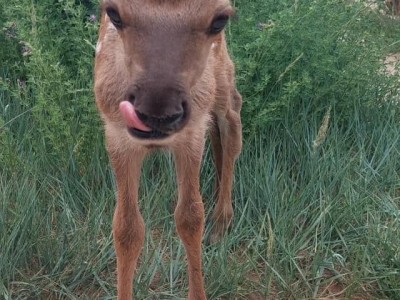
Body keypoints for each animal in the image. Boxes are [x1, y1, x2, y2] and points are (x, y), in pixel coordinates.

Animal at [95, 1, 242, 298]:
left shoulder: (191, 133)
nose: (157, 112)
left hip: (219, 74)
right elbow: (126, 229)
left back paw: (221, 222)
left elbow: (190, 217)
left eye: (220, 20)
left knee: (231, 118)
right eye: (113, 13)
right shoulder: (117, 136)